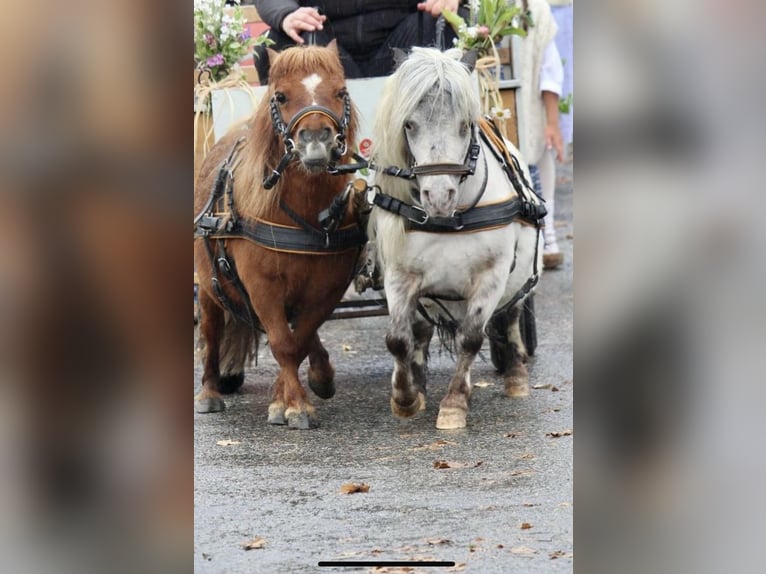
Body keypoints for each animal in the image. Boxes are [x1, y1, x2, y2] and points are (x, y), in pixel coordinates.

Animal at [193, 43, 366, 429]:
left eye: (341, 92)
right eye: (281, 96)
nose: (316, 141)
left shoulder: (330, 284)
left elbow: (298, 338)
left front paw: (305, 388)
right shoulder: (261, 285)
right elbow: (284, 344)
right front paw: (297, 407)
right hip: (209, 287)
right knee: (211, 333)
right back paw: (210, 392)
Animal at [367, 47, 546, 429]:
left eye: (465, 125)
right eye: (408, 124)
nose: (438, 196)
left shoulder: (491, 277)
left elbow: (471, 338)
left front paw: (453, 404)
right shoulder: (400, 276)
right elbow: (398, 339)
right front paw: (406, 397)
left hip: (520, 277)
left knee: (510, 316)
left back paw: (515, 375)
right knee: (421, 330)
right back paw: (419, 383)